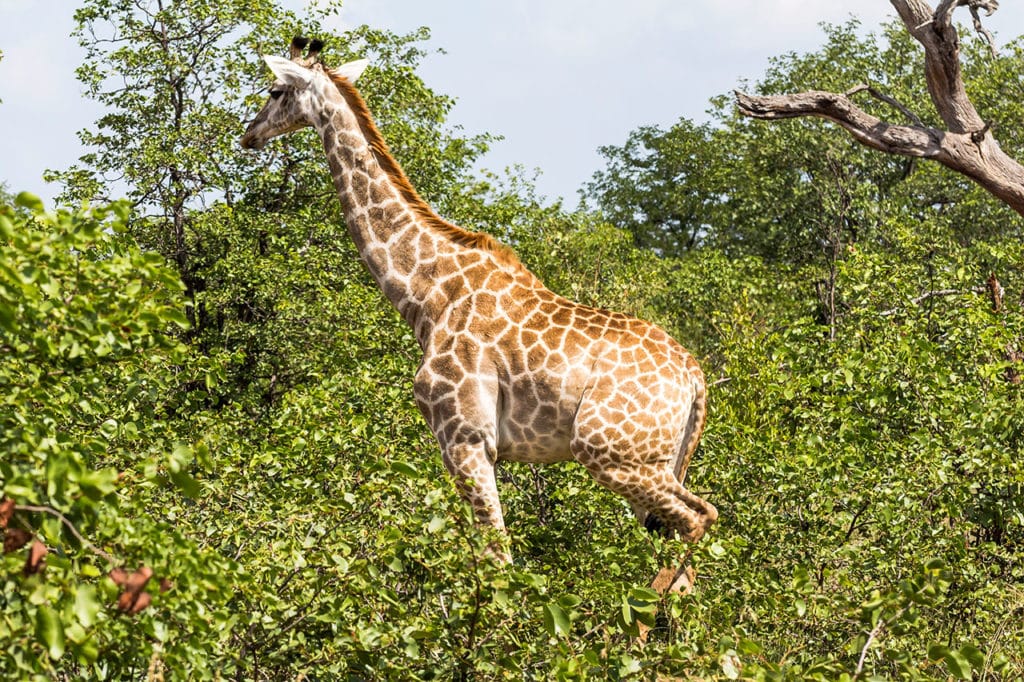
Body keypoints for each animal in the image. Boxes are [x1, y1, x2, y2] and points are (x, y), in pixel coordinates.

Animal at [239, 38, 720, 585]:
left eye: (275, 90)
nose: (249, 134)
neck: (428, 294)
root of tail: (694, 377)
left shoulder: (465, 435)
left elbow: (497, 560)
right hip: (659, 460)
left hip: (610, 452)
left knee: (700, 516)